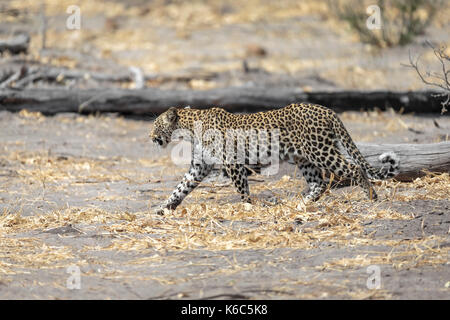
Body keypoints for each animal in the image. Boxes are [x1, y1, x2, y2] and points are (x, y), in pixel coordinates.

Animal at [149, 104, 400, 215]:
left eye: (155, 125)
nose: (150, 137)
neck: (190, 128)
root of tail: (327, 110)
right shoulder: (200, 166)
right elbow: (180, 187)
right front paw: (164, 207)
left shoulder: (233, 163)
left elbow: (242, 189)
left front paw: (247, 207)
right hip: (304, 158)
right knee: (318, 183)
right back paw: (301, 204)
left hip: (321, 151)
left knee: (355, 168)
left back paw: (372, 197)